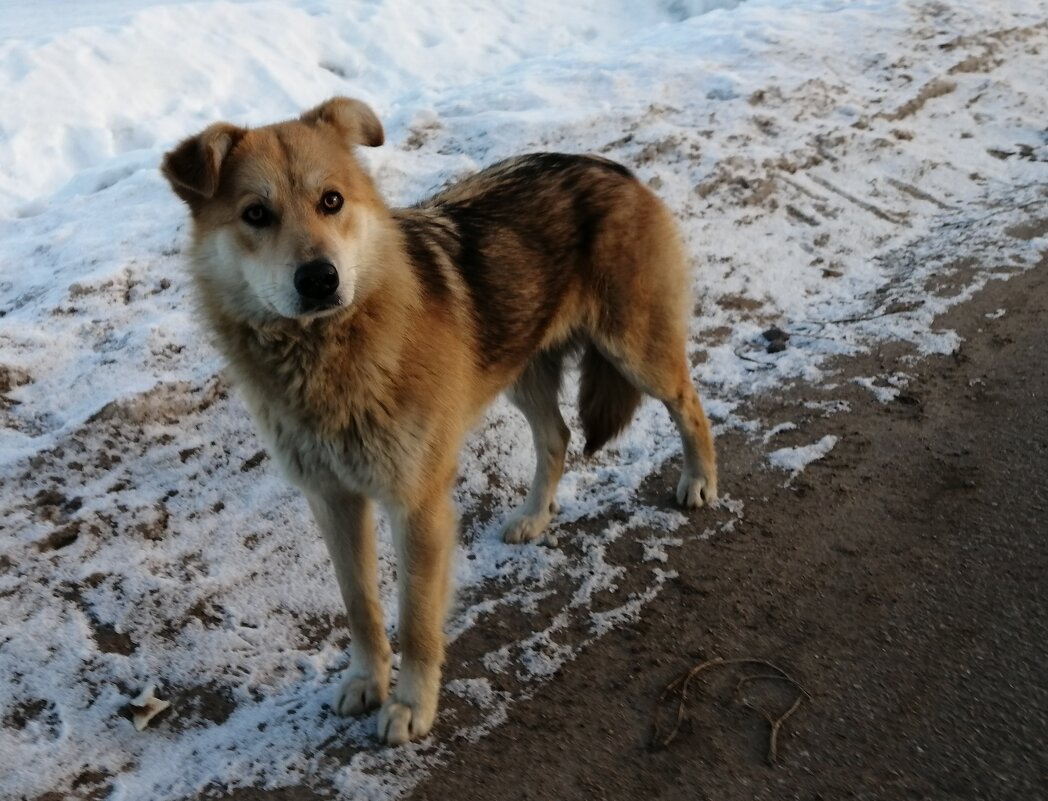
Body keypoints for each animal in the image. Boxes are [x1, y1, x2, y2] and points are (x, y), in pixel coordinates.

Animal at [161, 98, 721, 746]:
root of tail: (611, 167)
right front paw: (366, 679)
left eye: (332, 201)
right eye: (256, 214)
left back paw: (700, 480)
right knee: (556, 437)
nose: (320, 279)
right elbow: (360, 605)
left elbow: (416, 620)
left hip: (636, 351)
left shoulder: (417, 503)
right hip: (521, 369)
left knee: (690, 404)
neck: (327, 354)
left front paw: (410, 704)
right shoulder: (332, 500)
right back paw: (535, 517)